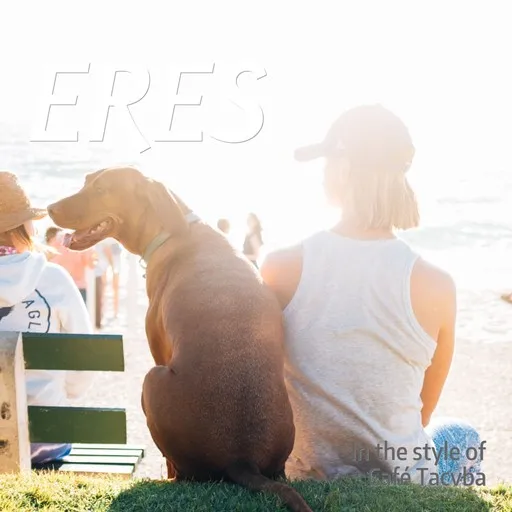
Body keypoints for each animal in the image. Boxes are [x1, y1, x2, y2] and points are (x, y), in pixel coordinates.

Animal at [47, 166, 312, 512]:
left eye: (102, 189)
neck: (173, 230)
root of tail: (242, 459)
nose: (49, 209)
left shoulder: (159, 350)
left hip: (151, 380)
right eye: (85, 182)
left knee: (180, 469)